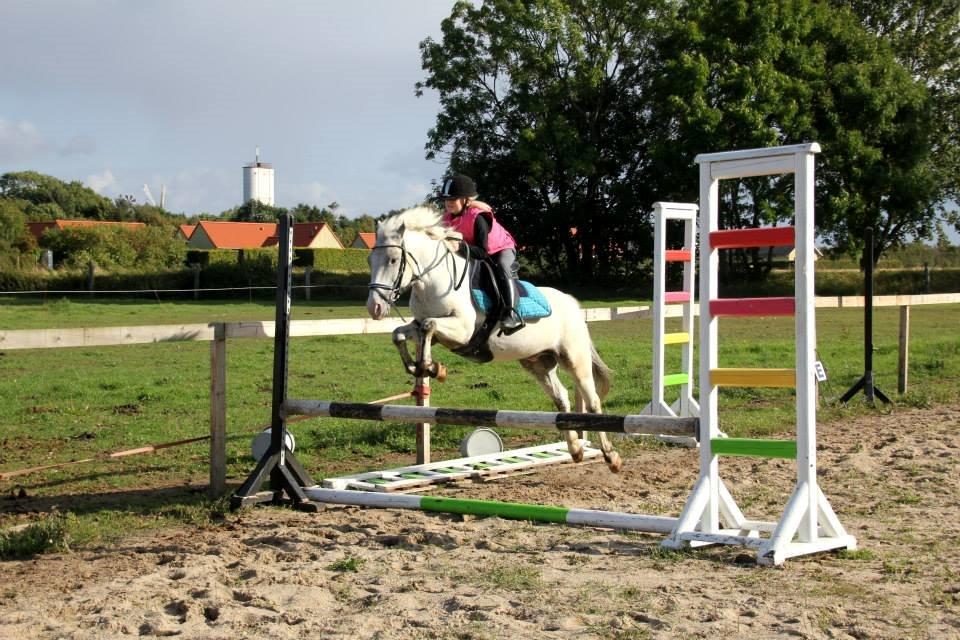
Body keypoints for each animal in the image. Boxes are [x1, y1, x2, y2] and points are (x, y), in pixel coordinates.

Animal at [365, 206, 622, 473]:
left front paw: (431, 367)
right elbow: (400, 333)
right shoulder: (424, 329)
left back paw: (611, 457)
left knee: (592, 402)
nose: (374, 307)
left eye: (393, 260)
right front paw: (418, 367)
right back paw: (576, 450)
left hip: (574, 358)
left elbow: (429, 326)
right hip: (538, 363)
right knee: (562, 399)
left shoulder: (463, 330)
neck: (434, 281)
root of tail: (572, 303)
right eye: (370, 261)